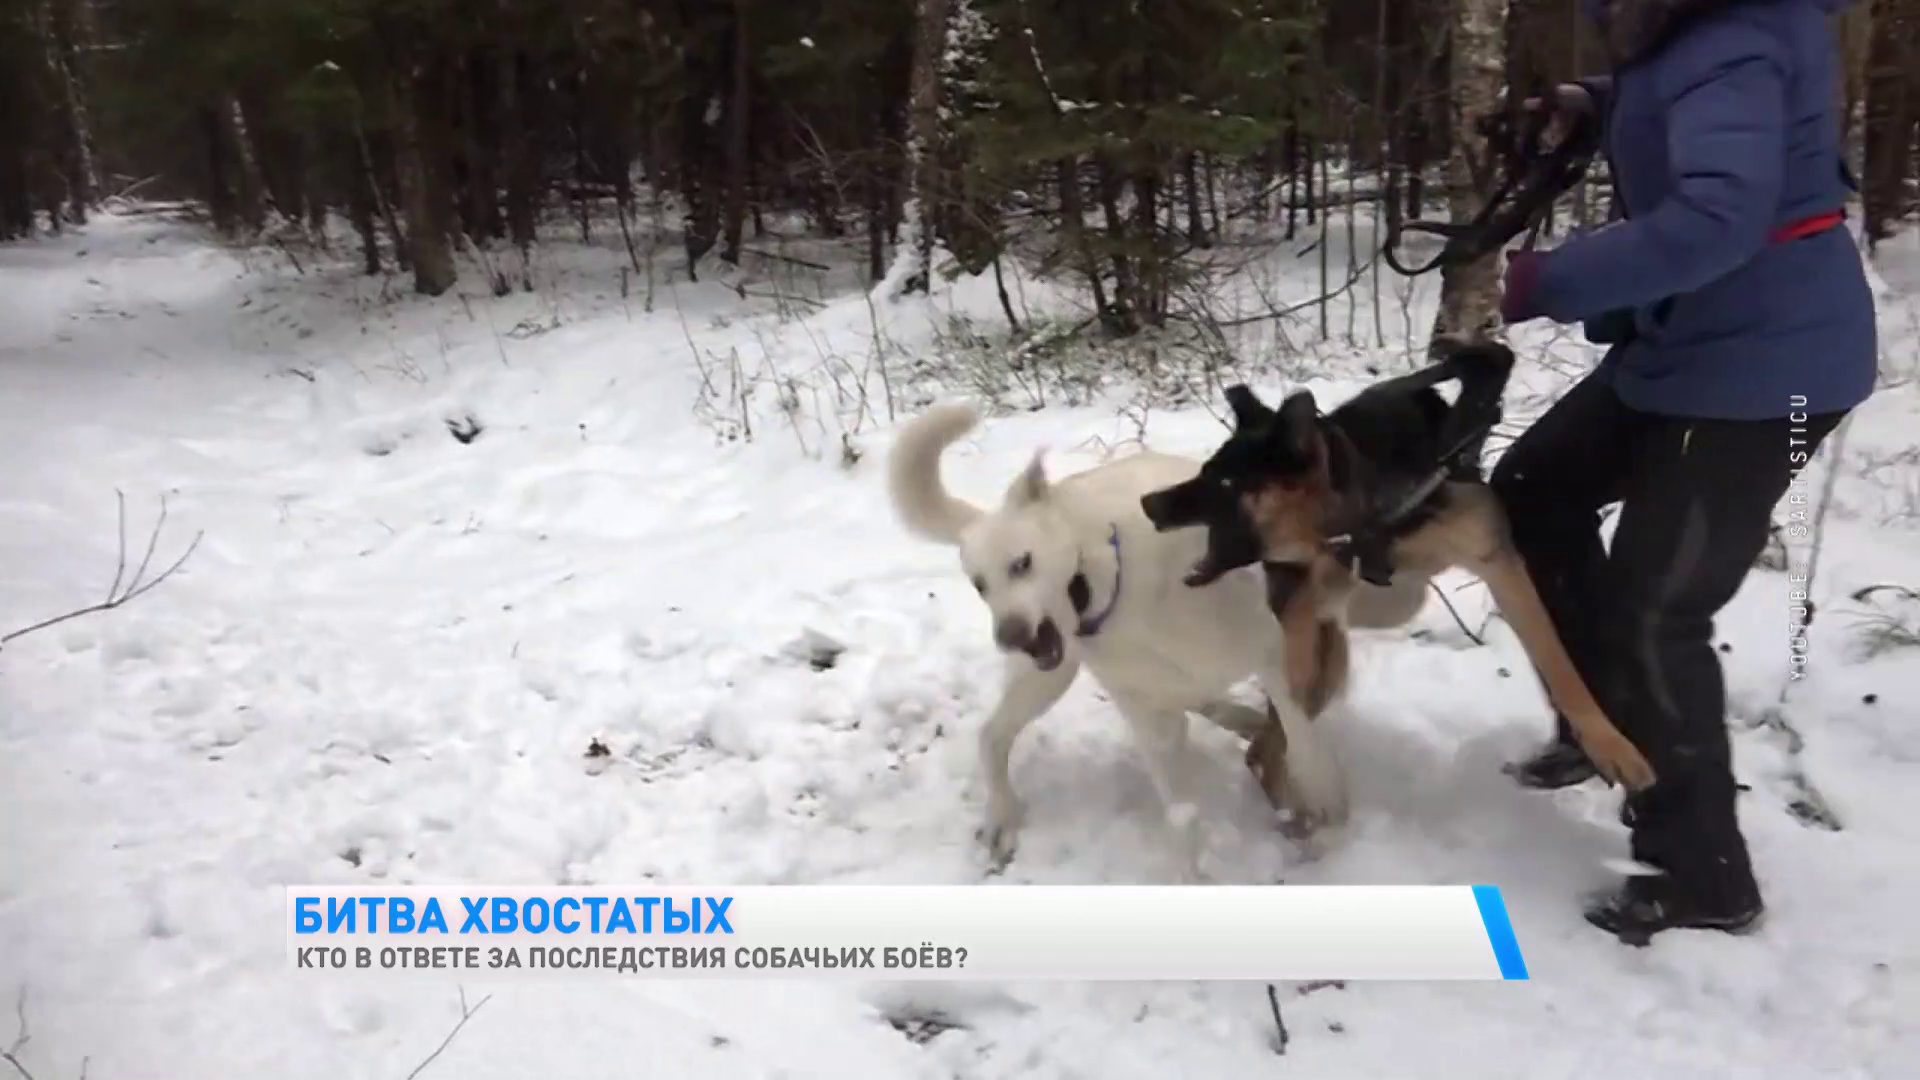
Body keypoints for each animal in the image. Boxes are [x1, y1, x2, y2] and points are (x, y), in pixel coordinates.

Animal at [887, 403, 1359, 876]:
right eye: (979, 585)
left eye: (1022, 563)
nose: (1011, 637)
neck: (1120, 587)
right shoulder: (1149, 717)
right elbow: (1183, 814)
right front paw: (1194, 874)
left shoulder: (1274, 653)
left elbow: (1300, 734)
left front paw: (1323, 798)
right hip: (1047, 679)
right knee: (991, 737)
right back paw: (1001, 819)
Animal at [1136, 342, 1651, 807]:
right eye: (1206, 471)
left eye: (1223, 481)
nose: (1148, 503)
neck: (1370, 504)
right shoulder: (1308, 602)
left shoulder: (1500, 564)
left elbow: (1561, 667)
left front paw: (1610, 745)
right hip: (1316, 655)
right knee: (1269, 745)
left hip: (1330, 657)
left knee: (1273, 742)